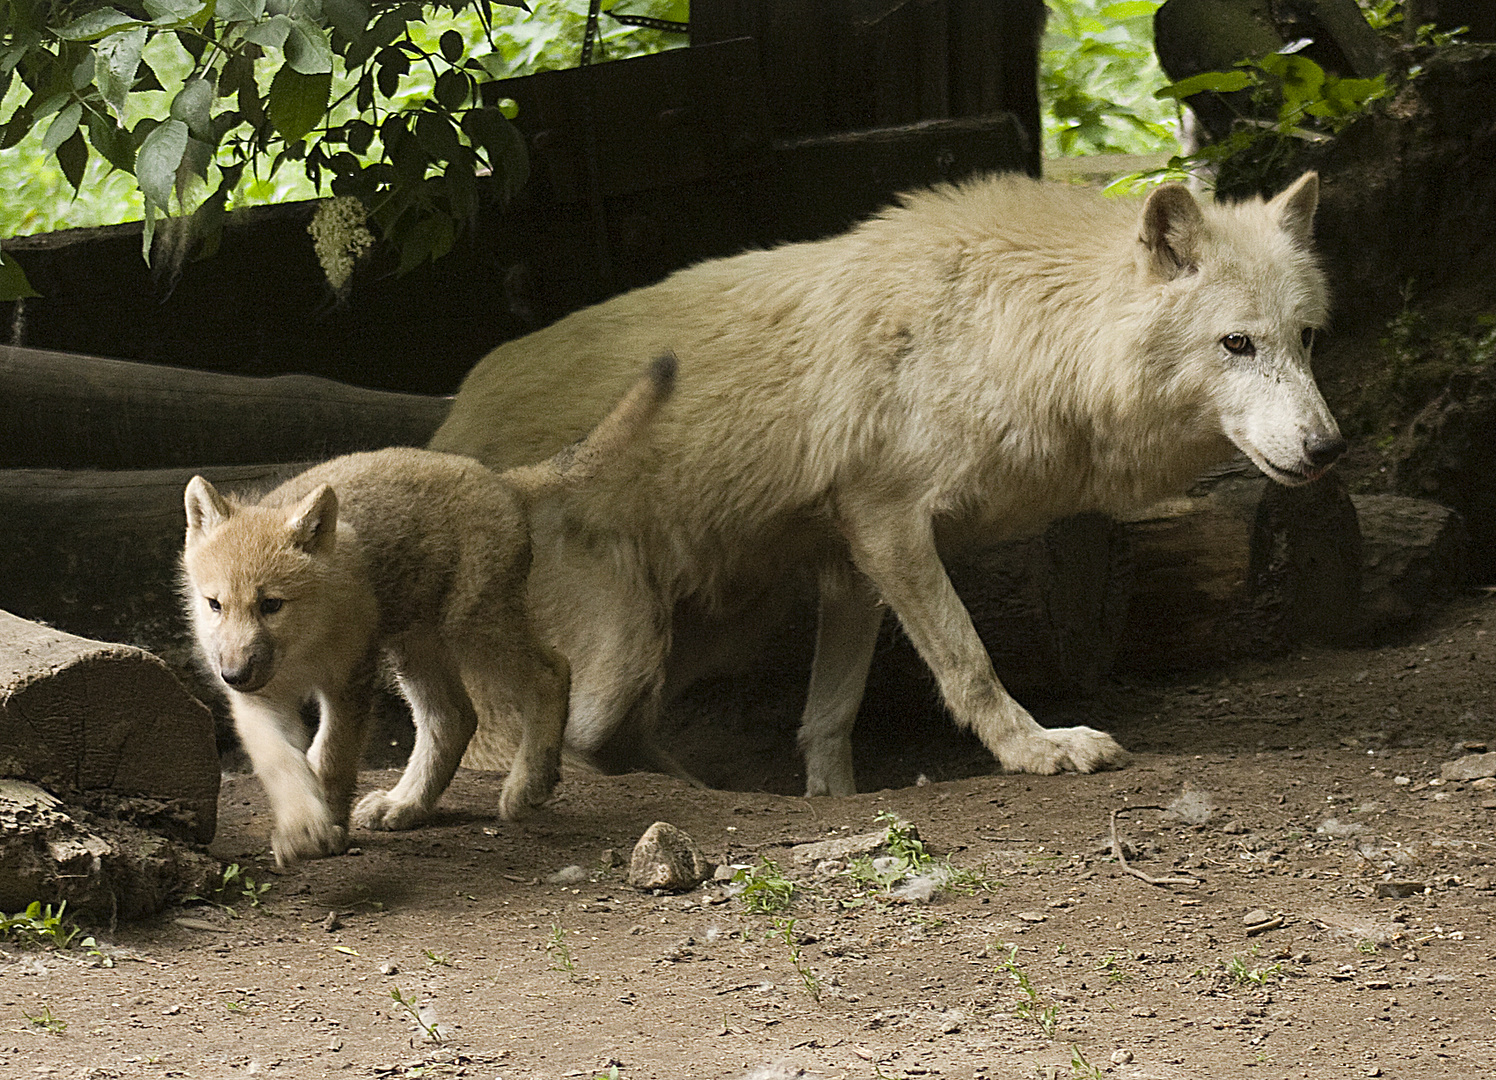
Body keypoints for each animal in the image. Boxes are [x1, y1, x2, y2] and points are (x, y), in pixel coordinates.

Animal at [433, 168, 1346, 789]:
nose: (1328, 447)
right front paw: (1037, 749)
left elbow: (830, 716)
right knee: (539, 739)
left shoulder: (853, 560)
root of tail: (447, 428)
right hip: (622, 647)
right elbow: (968, 660)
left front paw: (831, 799)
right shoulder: (891, 523)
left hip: (724, 620)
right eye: (1237, 344)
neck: (1007, 329)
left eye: (1304, 338)